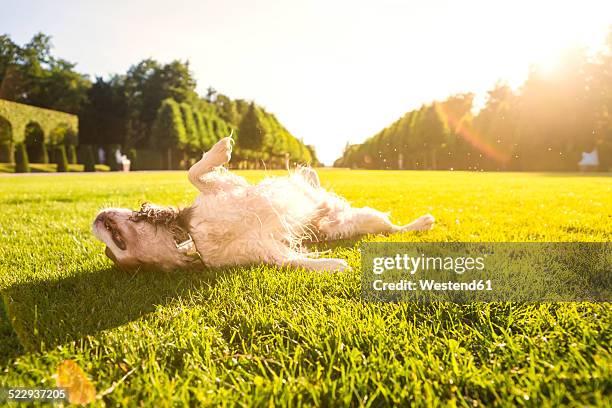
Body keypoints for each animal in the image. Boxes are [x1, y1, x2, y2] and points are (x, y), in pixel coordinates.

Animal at [93, 137, 432, 270]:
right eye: (113, 253)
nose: (95, 220)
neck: (195, 236)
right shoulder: (266, 250)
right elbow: (295, 261)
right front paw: (332, 265)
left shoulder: (225, 189)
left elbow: (194, 172)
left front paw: (220, 150)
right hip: (360, 221)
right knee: (391, 230)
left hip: (365, 215)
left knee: (396, 228)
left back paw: (422, 221)